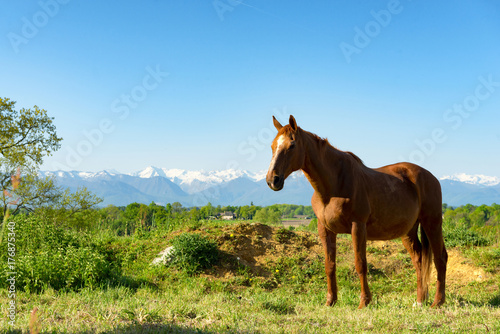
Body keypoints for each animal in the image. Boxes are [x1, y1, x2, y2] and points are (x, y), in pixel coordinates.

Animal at [268, 116, 448, 310]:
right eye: (272, 146)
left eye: (292, 145)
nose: (273, 180)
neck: (333, 186)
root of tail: (430, 177)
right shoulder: (325, 229)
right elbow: (329, 265)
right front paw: (330, 301)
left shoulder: (358, 226)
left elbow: (360, 264)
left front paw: (364, 301)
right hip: (408, 231)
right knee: (419, 259)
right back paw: (420, 300)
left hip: (432, 223)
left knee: (440, 258)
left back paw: (438, 301)